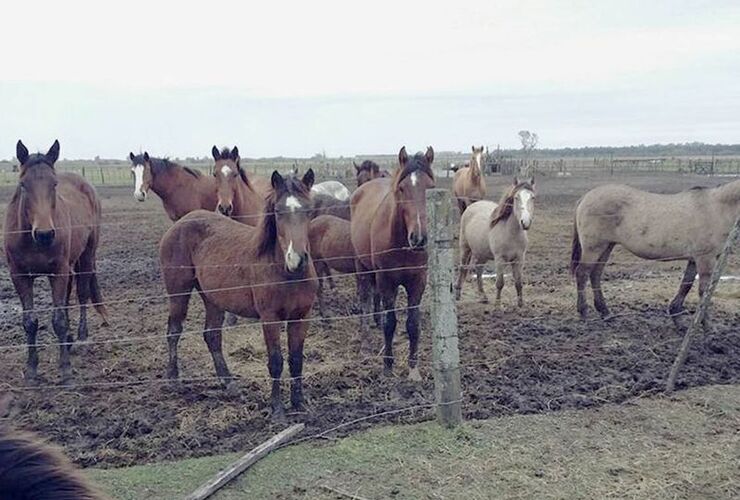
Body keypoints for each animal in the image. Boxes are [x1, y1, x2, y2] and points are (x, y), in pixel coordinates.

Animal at [3, 141, 108, 382]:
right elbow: (30, 322)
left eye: (54, 184)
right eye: (23, 184)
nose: (44, 234)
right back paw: (68, 339)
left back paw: (81, 338)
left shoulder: (57, 271)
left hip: (86, 256)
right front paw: (31, 371)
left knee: (81, 293)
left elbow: (58, 319)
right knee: (68, 296)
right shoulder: (19, 276)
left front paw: (66, 370)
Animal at [352, 146, 436, 380]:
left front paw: (413, 369)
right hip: (362, 267)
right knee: (365, 299)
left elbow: (413, 324)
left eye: (430, 187)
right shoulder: (386, 279)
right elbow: (390, 323)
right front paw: (388, 366)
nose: (419, 238)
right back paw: (365, 342)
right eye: (401, 188)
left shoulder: (418, 281)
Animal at [454, 178, 536, 306]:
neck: (510, 233)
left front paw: (520, 304)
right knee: (463, 268)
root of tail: (472, 206)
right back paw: (457, 294)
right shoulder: (499, 259)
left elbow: (518, 282)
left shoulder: (519, 259)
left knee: (478, 270)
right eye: (516, 197)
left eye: (532, 197)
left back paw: (483, 296)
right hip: (465, 248)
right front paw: (497, 305)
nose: (525, 222)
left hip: (481, 253)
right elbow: (500, 283)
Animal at [572, 180, 740, 318]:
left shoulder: (694, 259)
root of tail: (585, 197)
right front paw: (705, 328)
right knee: (582, 273)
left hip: (607, 246)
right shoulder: (705, 258)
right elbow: (704, 292)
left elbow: (686, 285)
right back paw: (583, 311)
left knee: (595, 274)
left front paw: (675, 312)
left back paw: (604, 311)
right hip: (594, 248)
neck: (716, 208)